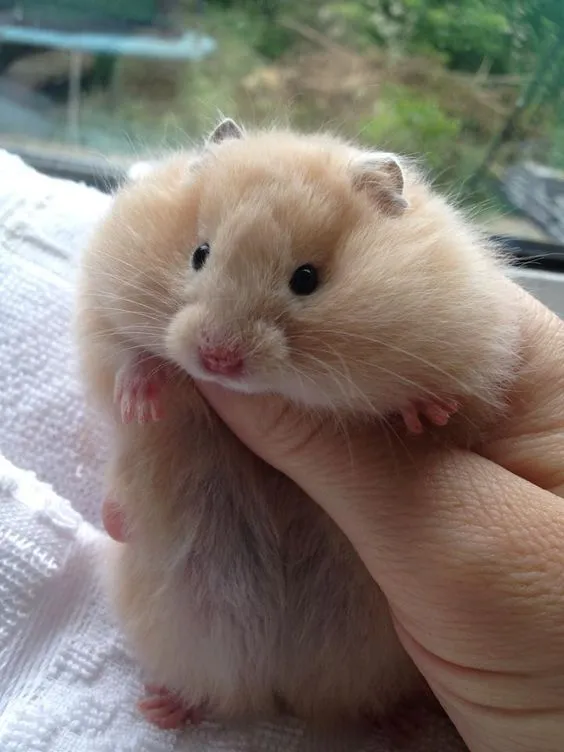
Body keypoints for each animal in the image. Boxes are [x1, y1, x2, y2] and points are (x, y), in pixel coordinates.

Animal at [75, 119, 520, 729]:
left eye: (306, 279)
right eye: (199, 254)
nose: (217, 358)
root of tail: (283, 695)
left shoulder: (474, 353)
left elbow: (454, 406)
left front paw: (425, 415)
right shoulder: (101, 306)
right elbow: (122, 353)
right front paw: (141, 401)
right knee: (219, 690)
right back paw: (162, 708)